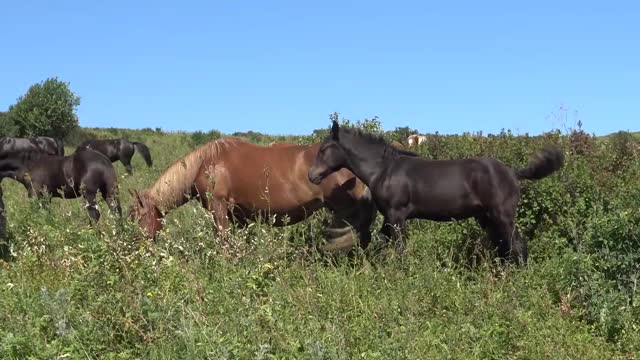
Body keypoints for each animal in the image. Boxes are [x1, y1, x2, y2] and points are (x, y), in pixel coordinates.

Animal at [127, 137, 376, 253]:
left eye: (137, 217)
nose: (135, 247)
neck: (205, 164)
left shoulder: (219, 209)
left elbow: (223, 242)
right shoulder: (239, 216)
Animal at [308, 121, 564, 264]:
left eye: (324, 149)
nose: (312, 176)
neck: (384, 169)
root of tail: (512, 172)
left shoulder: (397, 215)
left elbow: (399, 249)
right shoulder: (389, 218)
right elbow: (381, 242)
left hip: (503, 215)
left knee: (517, 245)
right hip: (487, 217)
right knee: (503, 246)